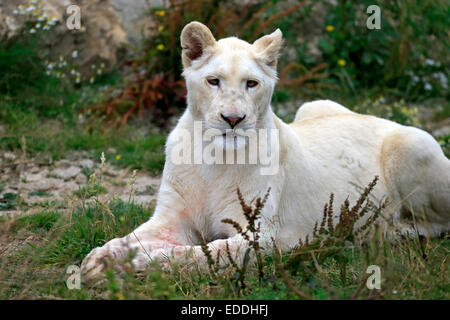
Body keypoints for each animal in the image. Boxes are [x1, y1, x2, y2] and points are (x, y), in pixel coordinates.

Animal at [81, 21, 450, 282]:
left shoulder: (260, 238)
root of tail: (378, 116)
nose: (233, 119)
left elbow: (196, 254)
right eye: (214, 81)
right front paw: (99, 260)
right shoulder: (171, 218)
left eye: (251, 83)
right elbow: (131, 238)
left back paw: (376, 232)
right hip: (313, 105)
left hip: (411, 145)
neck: (213, 157)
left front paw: (140, 265)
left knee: (434, 224)